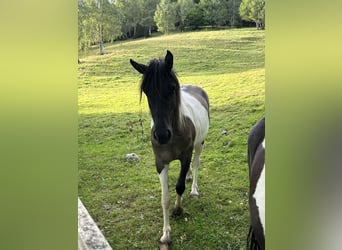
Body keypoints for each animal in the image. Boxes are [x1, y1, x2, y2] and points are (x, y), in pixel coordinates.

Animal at [130, 50, 210, 244]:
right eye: (147, 91)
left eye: (172, 88)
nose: (161, 135)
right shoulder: (161, 163)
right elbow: (164, 198)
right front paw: (166, 233)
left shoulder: (185, 156)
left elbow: (179, 186)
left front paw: (178, 209)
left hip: (200, 144)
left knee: (195, 164)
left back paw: (194, 189)